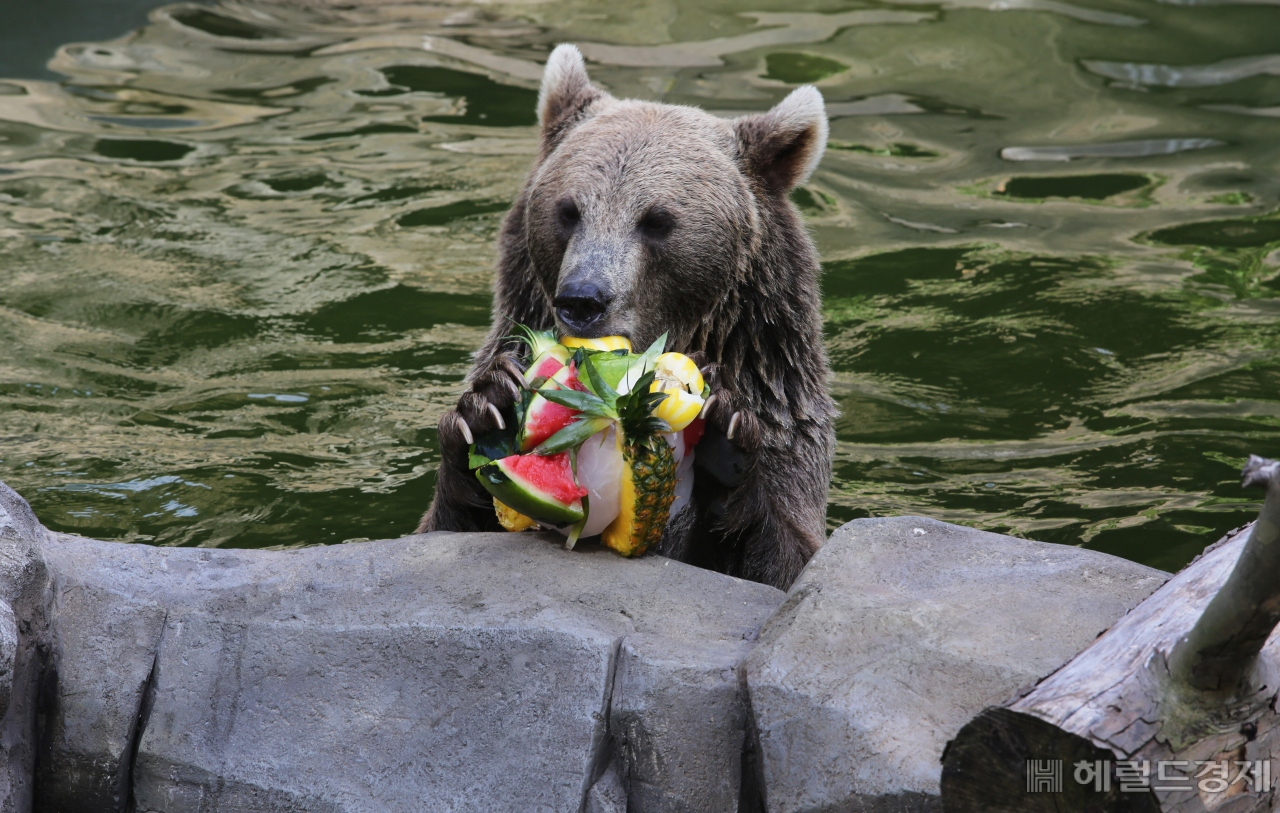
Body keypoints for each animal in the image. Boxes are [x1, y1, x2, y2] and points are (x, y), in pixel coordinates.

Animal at [417, 44, 839, 591]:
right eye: (569, 210)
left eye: (657, 220)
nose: (583, 299)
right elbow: (441, 525)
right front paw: (489, 410)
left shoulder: (777, 396)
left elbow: (784, 553)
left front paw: (724, 434)